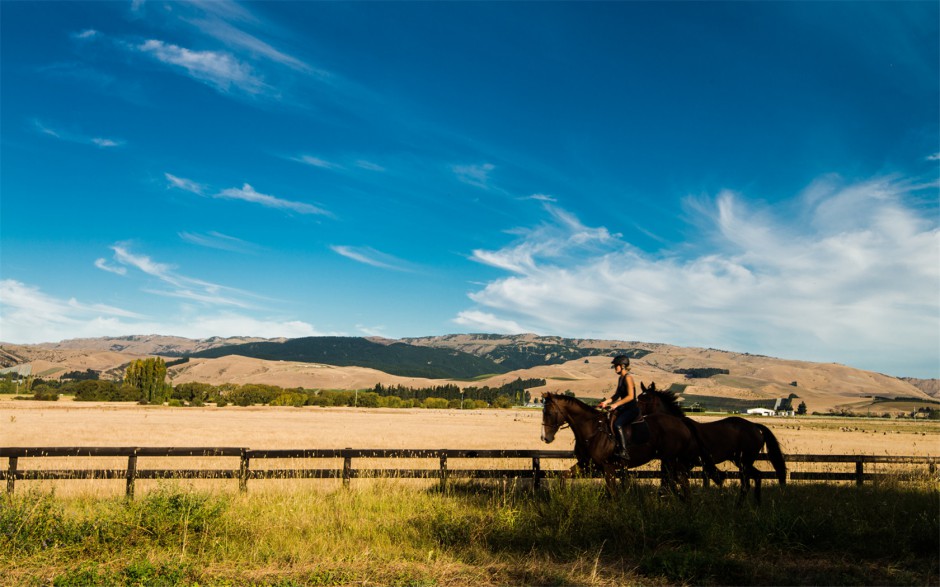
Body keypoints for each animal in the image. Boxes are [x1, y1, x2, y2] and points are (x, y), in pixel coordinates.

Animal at [544, 392, 712, 498]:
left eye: (549, 413)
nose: (545, 438)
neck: (592, 430)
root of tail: (680, 421)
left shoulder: (608, 468)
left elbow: (613, 493)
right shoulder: (586, 464)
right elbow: (563, 477)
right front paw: (561, 496)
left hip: (672, 460)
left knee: (682, 481)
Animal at [640, 382, 784, 506]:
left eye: (647, 399)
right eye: (638, 398)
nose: (638, 416)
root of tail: (755, 426)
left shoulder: (685, 463)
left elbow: (673, 483)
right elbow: (670, 483)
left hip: (744, 461)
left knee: (747, 483)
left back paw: (740, 506)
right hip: (741, 461)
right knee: (756, 477)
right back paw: (754, 504)